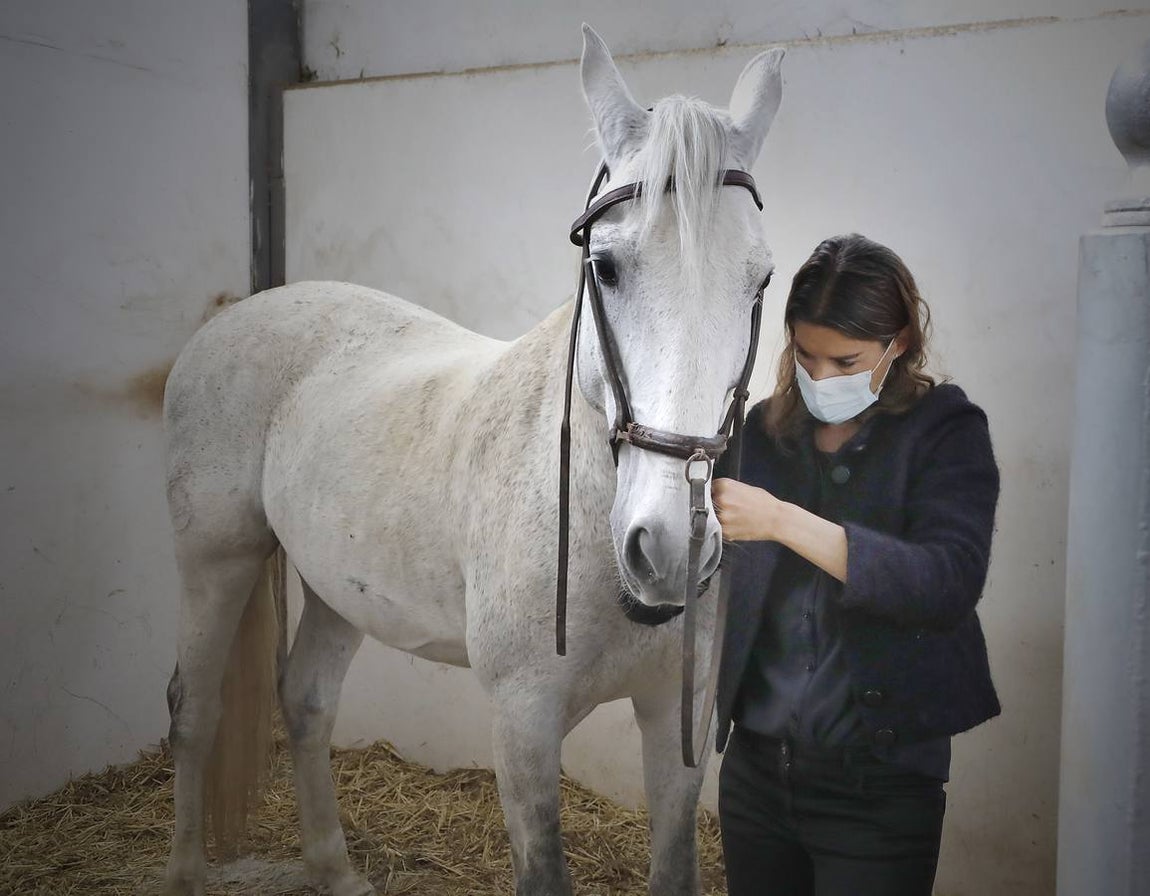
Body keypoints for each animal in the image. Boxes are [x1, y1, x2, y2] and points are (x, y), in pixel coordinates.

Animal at [160, 25, 784, 896]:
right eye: (606, 266)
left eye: (761, 280)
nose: (669, 547)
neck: (583, 515)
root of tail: (231, 318)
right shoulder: (522, 727)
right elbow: (543, 867)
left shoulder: (676, 716)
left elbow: (676, 867)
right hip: (216, 560)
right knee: (196, 710)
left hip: (336, 586)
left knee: (306, 701)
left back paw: (335, 869)